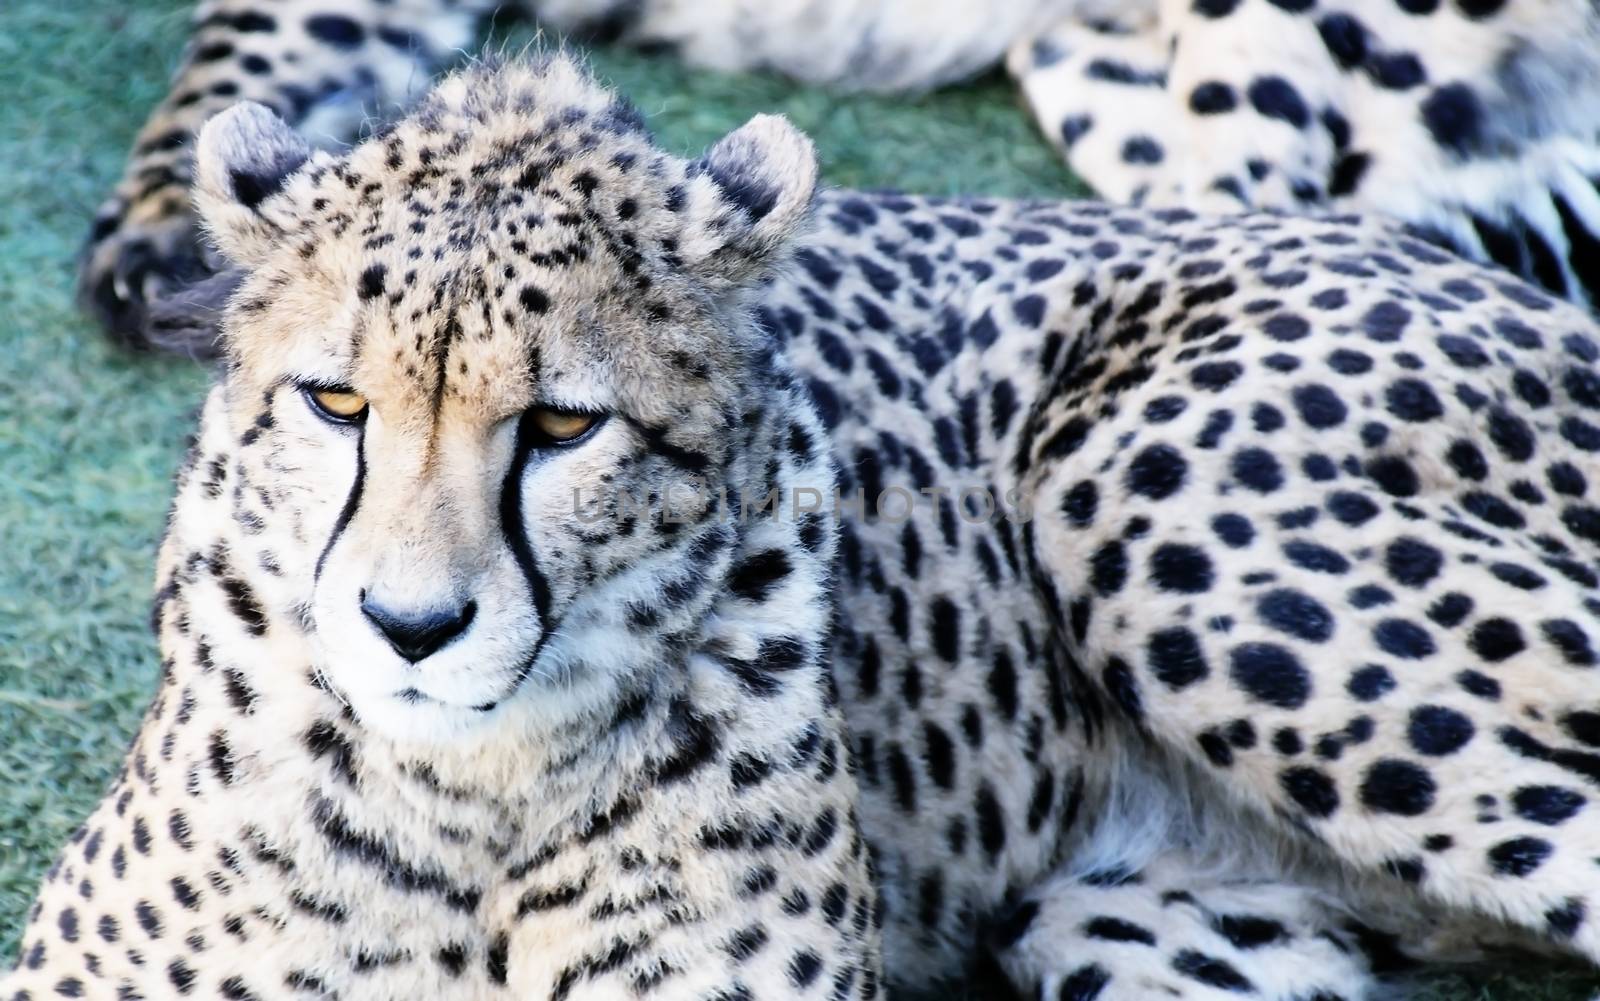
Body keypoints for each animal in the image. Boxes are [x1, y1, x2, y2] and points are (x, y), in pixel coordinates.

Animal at [6, 52, 1600, 997]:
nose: (410, 627)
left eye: (564, 427)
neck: (471, 795)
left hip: (1155, 500)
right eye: (336, 402)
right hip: (1141, 918)